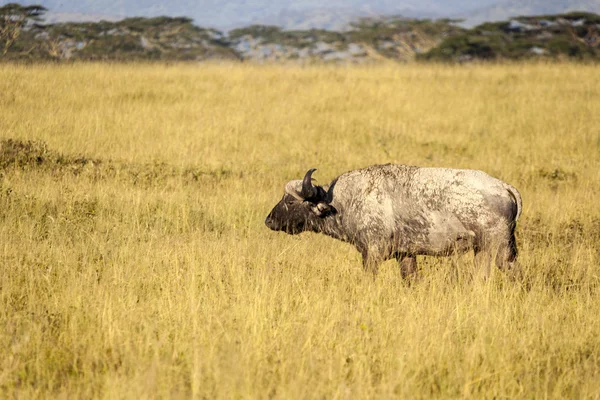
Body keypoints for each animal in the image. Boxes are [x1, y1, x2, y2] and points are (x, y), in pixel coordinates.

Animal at [264, 164, 524, 276]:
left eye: (290, 202)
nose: (269, 220)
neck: (346, 200)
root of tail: (504, 187)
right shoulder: (406, 256)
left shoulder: (371, 254)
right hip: (482, 252)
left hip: (500, 251)